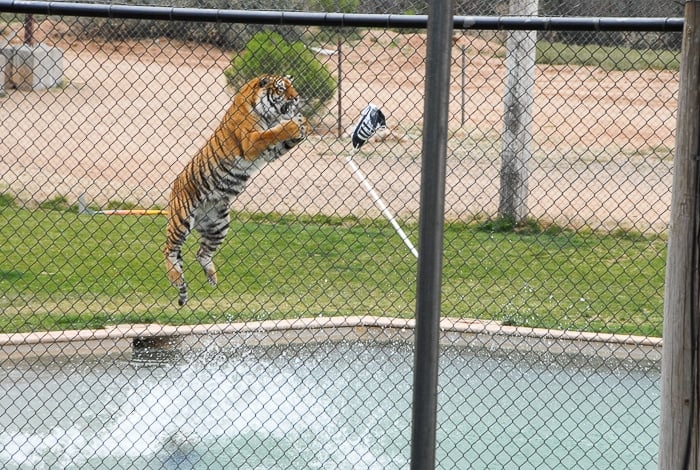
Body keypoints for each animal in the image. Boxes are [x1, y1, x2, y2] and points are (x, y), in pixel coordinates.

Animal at [163, 74, 308, 304]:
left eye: (291, 87)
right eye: (281, 89)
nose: (296, 98)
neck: (267, 114)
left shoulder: (271, 152)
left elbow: (281, 141)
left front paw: (304, 125)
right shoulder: (251, 140)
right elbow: (272, 134)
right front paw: (294, 125)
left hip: (219, 226)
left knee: (201, 253)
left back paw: (212, 277)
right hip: (182, 219)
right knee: (169, 249)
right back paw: (176, 278)